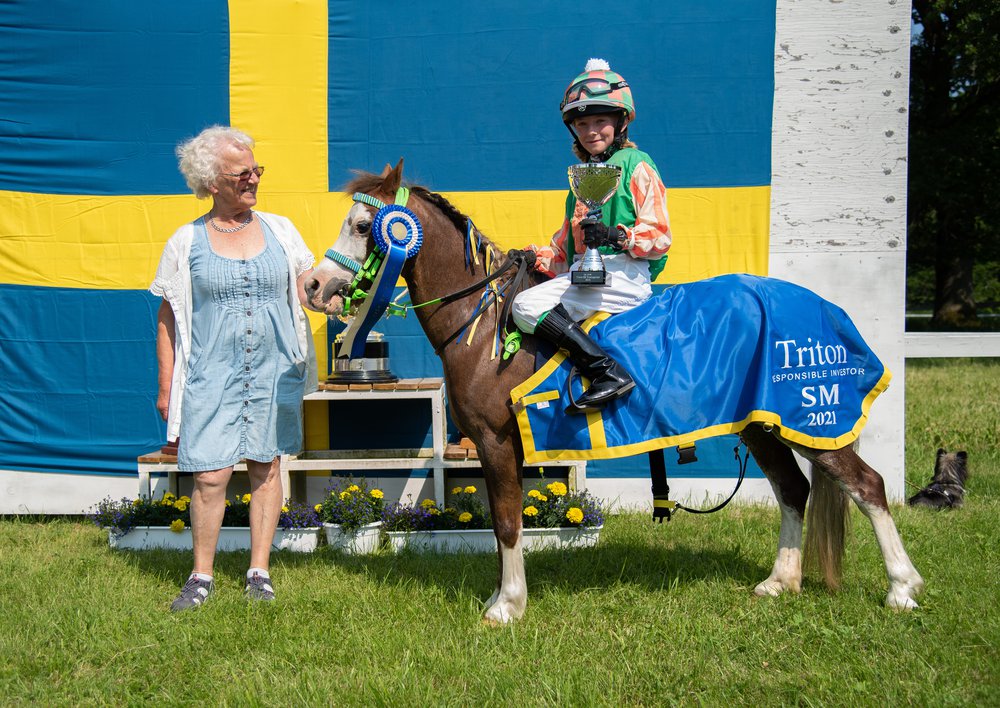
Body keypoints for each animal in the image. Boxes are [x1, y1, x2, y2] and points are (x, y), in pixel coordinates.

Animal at [302, 162, 920, 624]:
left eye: (365, 226)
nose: (313, 285)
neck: (487, 326)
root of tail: (823, 306)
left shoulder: (497, 442)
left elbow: (506, 522)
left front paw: (507, 606)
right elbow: (504, 522)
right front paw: (502, 598)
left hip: (813, 421)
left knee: (867, 486)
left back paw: (901, 588)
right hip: (762, 425)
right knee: (793, 489)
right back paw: (780, 582)